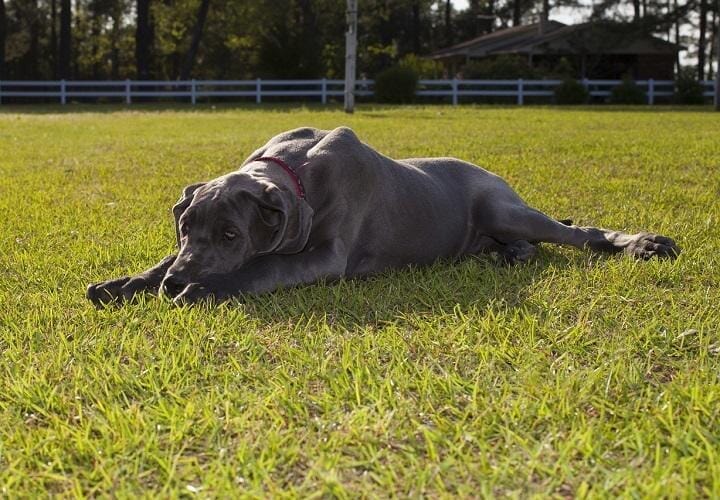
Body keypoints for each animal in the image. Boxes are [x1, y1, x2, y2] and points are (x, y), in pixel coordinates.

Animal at [87, 126, 676, 304]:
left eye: (232, 233)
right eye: (184, 228)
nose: (177, 282)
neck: (292, 170)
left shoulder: (325, 255)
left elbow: (264, 266)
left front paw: (202, 289)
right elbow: (156, 263)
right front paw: (127, 283)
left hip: (503, 208)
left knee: (578, 233)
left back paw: (643, 243)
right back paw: (507, 258)